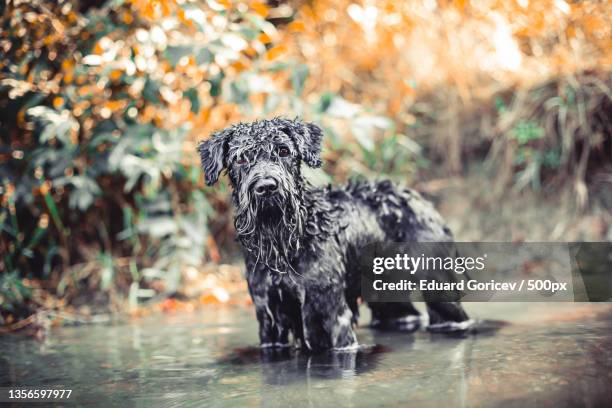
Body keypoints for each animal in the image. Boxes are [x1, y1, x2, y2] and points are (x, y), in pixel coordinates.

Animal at [198, 118, 470, 350]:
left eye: (283, 151)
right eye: (241, 159)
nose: (266, 187)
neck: (287, 245)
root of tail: (419, 198)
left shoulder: (327, 311)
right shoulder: (269, 317)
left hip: (439, 287)